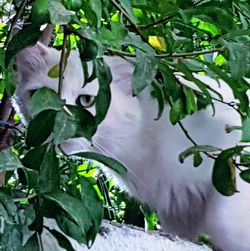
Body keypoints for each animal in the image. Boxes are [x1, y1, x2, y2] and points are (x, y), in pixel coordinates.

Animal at [14, 42, 250, 250]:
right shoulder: (178, 211)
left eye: (86, 100)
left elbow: (223, 223)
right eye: (39, 97)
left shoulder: (234, 154)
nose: (58, 127)